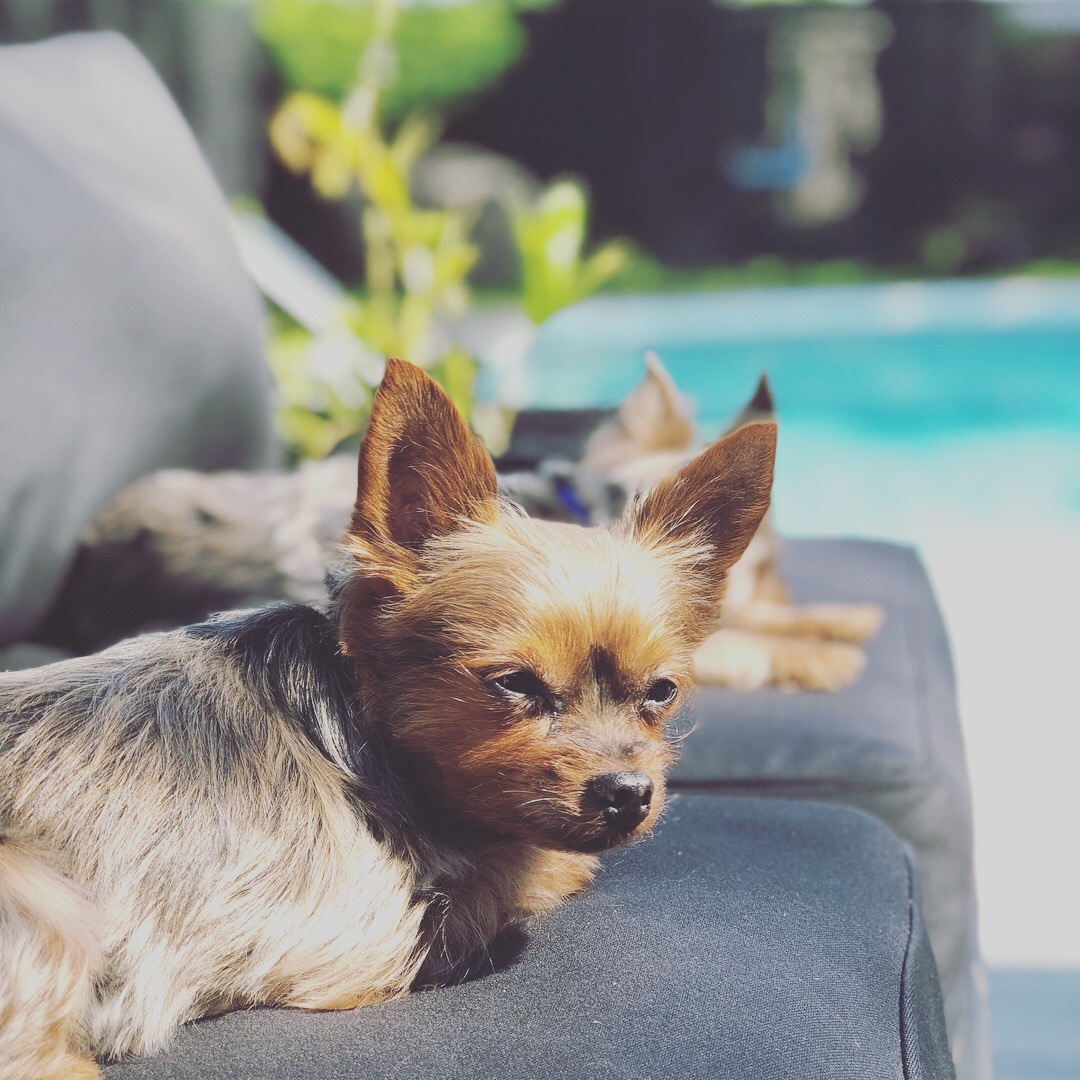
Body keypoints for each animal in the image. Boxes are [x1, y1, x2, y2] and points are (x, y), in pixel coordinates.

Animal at [0, 359, 776, 1078]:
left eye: (662, 691)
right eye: (514, 683)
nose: (627, 794)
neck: (363, 727)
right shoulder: (371, 933)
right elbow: (524, 869)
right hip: (42, 901)